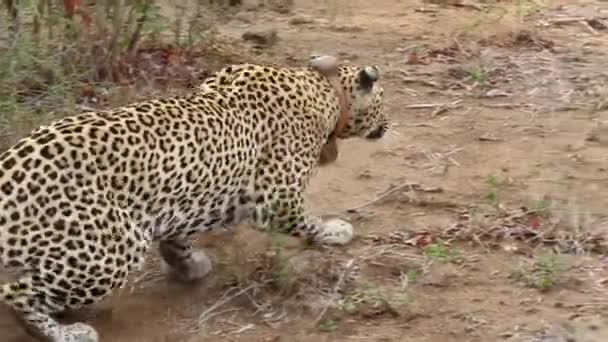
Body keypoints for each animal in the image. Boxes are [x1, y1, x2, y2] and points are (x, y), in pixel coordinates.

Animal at [0, 54, 390, 340]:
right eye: (383, 100)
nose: (388, 124)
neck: (324, 90)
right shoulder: (278, 198)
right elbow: (307, 221)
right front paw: (336, 231)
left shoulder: (188, 200)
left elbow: (178, 236)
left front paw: (188, 265)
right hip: (110, 249)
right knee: (16, 293)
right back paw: (66, 333)